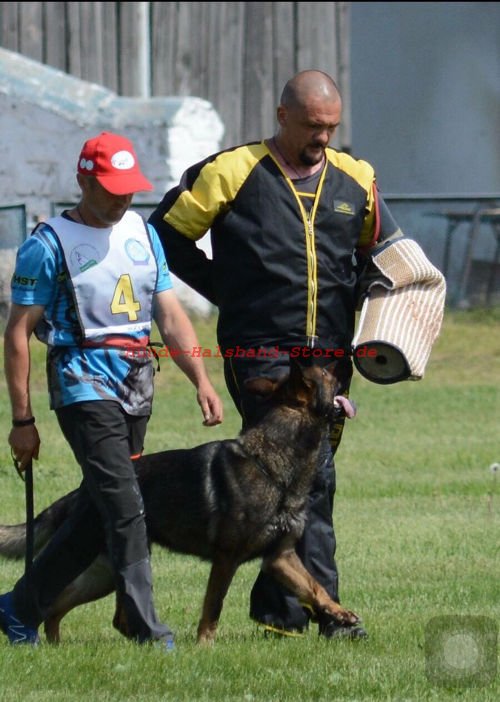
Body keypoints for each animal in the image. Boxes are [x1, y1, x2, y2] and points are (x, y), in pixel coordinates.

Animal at [0, 360, 360, 648]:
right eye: (326, 373)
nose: (345, 360)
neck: (274, 464)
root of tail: (82, 491)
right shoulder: (226, 559)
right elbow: (213, 606)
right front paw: (204, 646)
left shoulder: (280, 558)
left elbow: (316, 588)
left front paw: (341, 614)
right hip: (91, 560)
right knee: (55, 599)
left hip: (103, 574)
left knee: (77, 610)